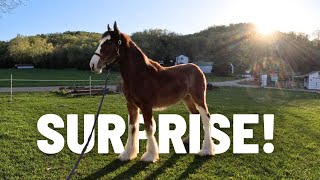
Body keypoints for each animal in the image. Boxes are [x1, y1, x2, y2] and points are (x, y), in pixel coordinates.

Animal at [89, 22, 215, 162]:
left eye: (109, 43)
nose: (93, 65)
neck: (139, 74)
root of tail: (197, 68)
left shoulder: (146, 106)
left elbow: (149, 128)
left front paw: (149, 155)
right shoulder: (131, 105)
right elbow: (132, 127)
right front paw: (127, 154)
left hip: (198, 98)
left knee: (206, 118)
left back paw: (206, 150)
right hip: (187, 99)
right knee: (195, 115)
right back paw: (189, 141)